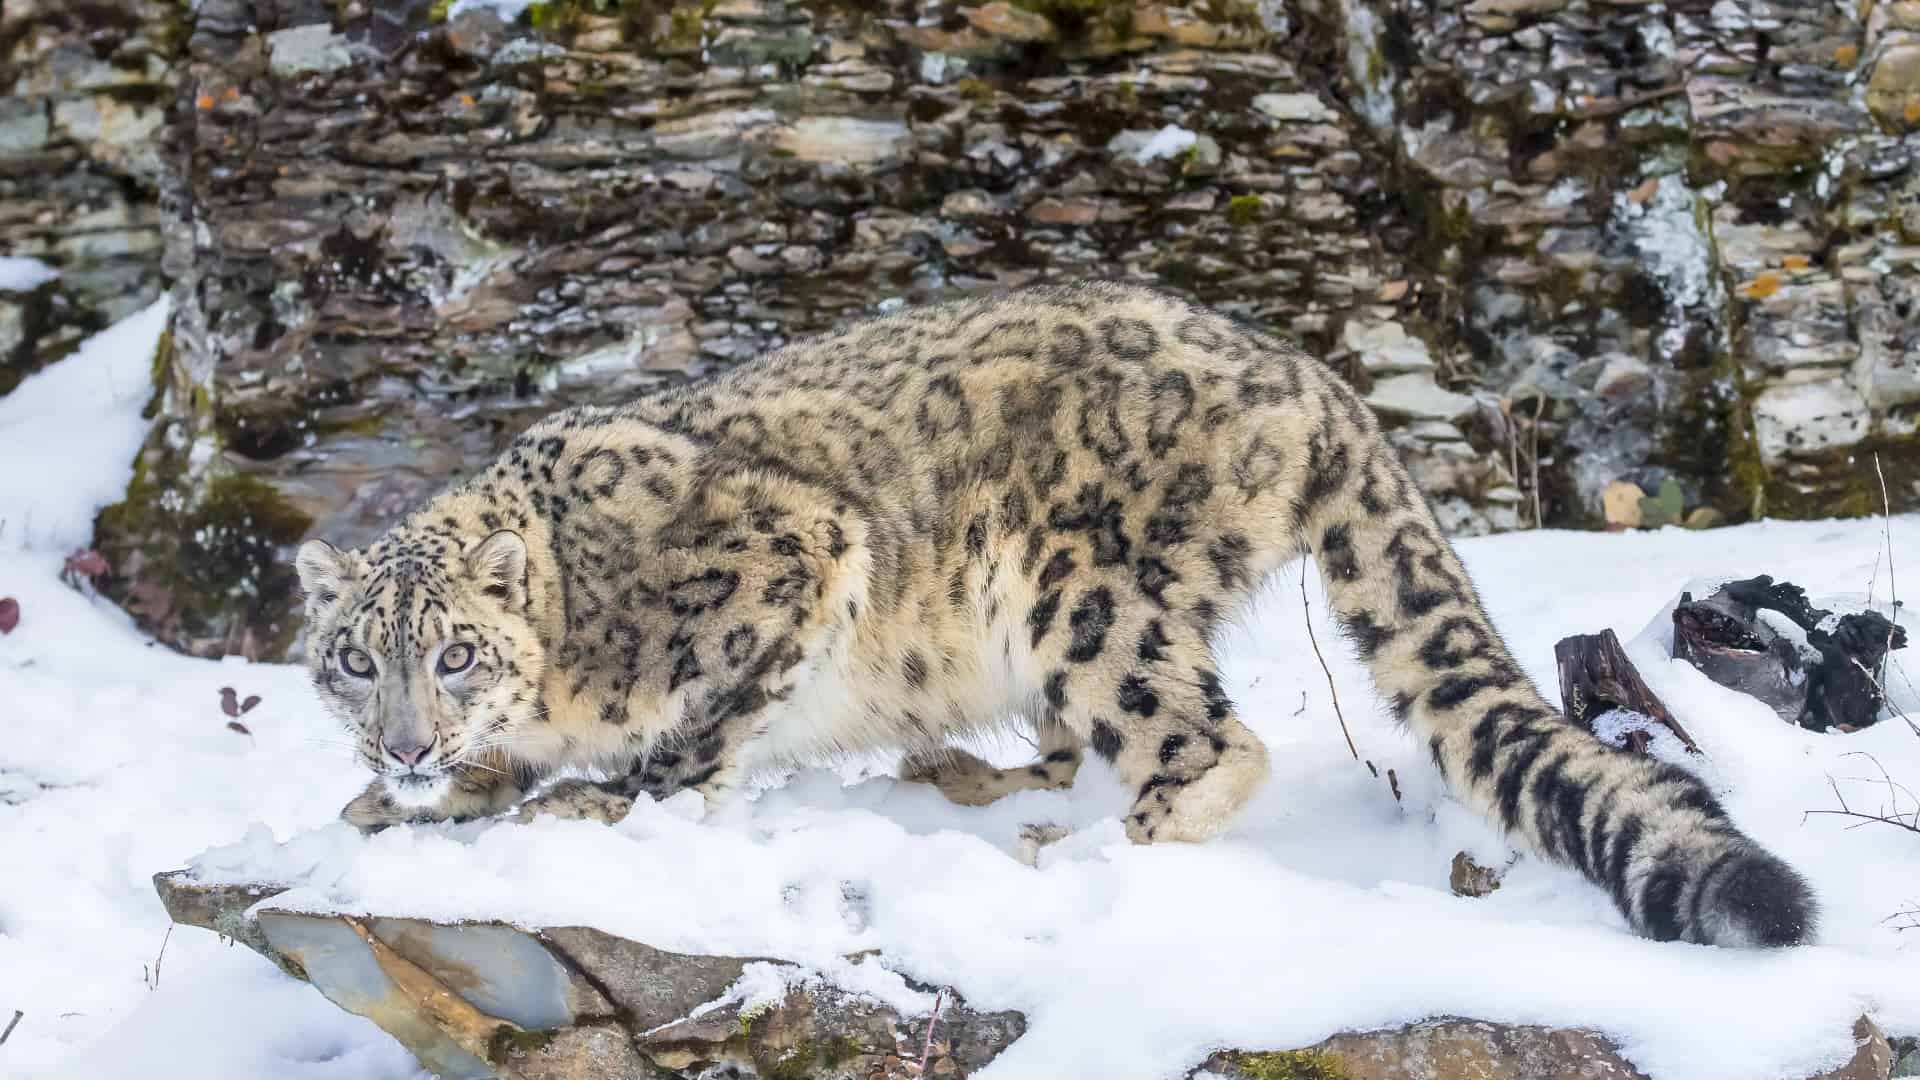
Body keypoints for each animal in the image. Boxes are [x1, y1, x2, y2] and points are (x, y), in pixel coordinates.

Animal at [296, 281, 1814, 948]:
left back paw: (1084, 850)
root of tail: (1306, 374)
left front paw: (609, 808)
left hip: (1077, 590)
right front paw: (396, 804)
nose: (408, 742)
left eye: (456, 652)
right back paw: (992, 782)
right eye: (357, 662)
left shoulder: (791, 555)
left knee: (1205, 739)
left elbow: (703, 731)